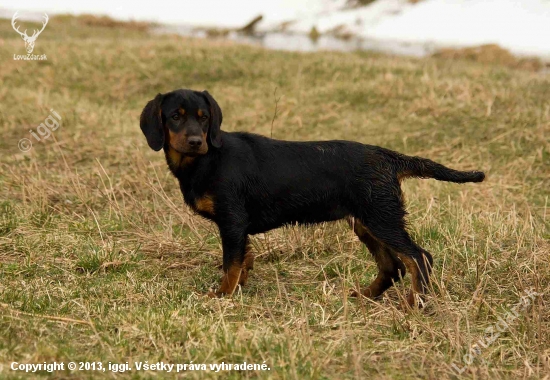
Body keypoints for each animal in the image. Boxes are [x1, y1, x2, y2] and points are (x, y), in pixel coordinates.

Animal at [140, 88, 486, 306]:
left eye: (204, 117)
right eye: (175, 116)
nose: (196, 141)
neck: (207, 160)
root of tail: (388, 158)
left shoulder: (232, 222)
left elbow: (231, 264)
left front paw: (222, 296)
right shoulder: (237, 228)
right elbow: (243, 260)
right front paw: (238, 288)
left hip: (381, 217)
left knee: (418, 258)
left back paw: (415, 304)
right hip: (367, 222)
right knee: (393, 266)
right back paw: (365, 296)